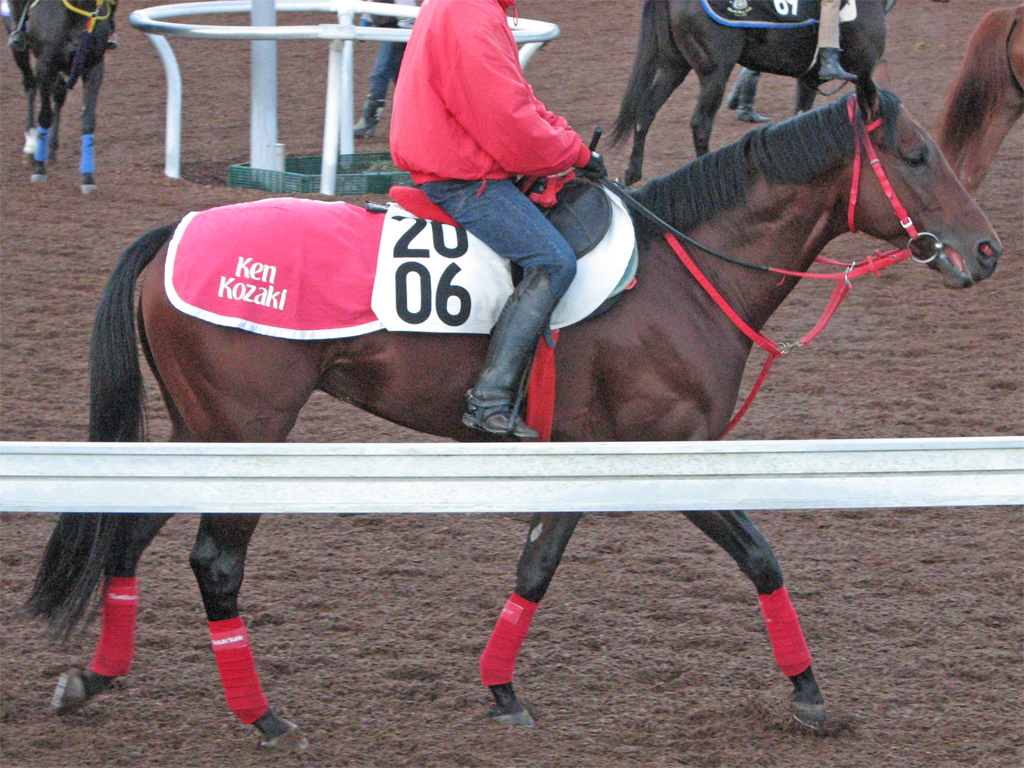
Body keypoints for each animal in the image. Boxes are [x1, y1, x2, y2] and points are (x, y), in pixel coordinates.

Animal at [7, 0, 112, 193]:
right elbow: (44, 116)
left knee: (58, 96)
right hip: (21, 49)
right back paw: (31, 144)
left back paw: (51, 150)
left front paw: (88, 177)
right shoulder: (45, 64)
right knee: (30, 85)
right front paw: (39, 167)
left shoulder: (93, 65)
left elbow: (88, 120)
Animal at [25, 82, 999, 753]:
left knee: (127, 538)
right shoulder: (667, 452)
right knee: (215, 563)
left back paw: (96, 680)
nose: (987, 250)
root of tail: (175, 233)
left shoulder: (580, 458)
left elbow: (537, 565)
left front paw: (500, 690)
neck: (683, 273)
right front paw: (806, 691)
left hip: (201, 434)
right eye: (917, 154)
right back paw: (263, 717)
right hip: (248, 435)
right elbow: (760, 554)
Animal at [610, 0, 892, 183]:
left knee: (646, 111)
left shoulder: (808, 80)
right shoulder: (865, 72)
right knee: (700, 123)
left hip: (674, 65)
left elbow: (802, 119)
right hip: (715, 72)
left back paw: (632, 174)